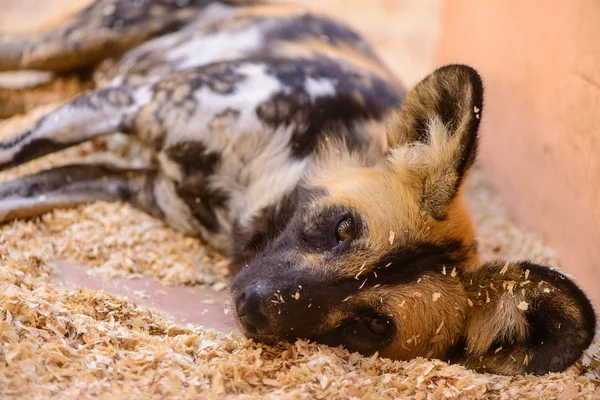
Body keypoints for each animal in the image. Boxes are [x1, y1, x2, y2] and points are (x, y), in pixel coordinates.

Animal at [0, 0, 596, 376]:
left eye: (372, 325)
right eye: (343, 227)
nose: (252, 306)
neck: (254, 183)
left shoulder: (126, 182)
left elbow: (19, 191)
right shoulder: (124, 105)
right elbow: (10, 160)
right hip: (76, 43)